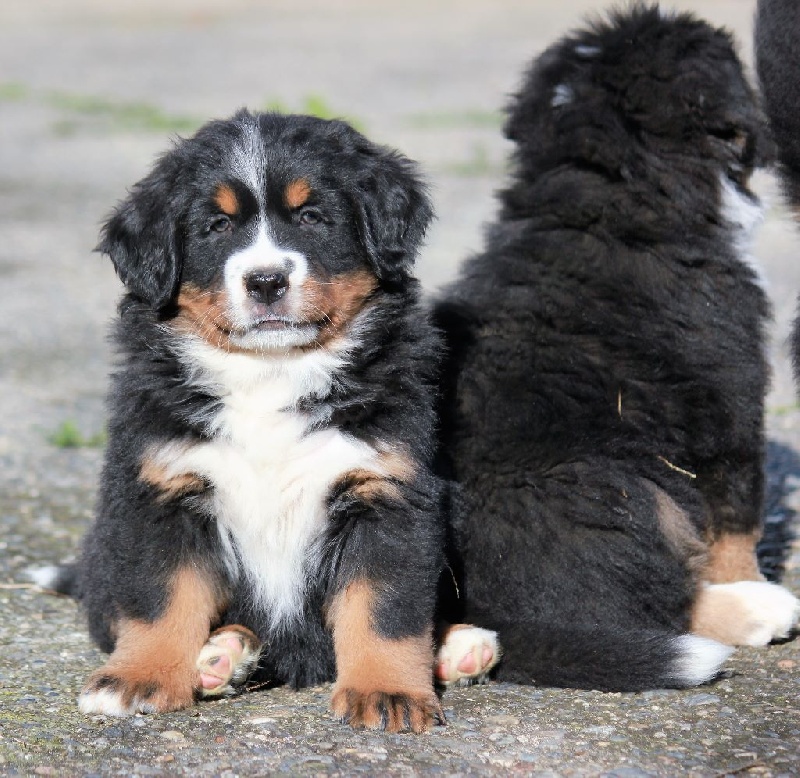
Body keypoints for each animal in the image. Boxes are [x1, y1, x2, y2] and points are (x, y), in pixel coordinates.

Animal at [40, 109, 457, 732]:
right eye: (216, 226)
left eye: (312, 217)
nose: (265, 281)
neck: (271, 372)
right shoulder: (164, 490)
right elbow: (161, 599)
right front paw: (139, 677)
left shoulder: (385, 490)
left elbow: (383, 607)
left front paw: (386, 691)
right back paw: (223, 655)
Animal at [435, 5, 800, 692]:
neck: (608, 204)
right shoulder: (732, 398)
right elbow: (735, 520)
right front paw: (751, 578)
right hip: (630, 489)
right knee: (649, 603)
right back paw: (759, 608)